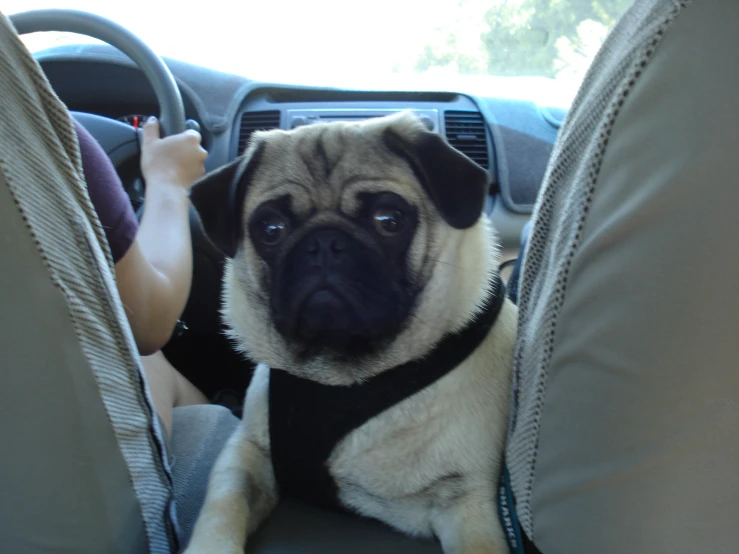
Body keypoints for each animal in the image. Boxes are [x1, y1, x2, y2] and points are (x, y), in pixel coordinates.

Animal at [183, 109, 516, 552]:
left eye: (389, 221)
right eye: (270, 229)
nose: (324, 243)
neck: (342, 376)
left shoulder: (466, 501)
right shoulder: (248, 454)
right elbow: (223, 507)